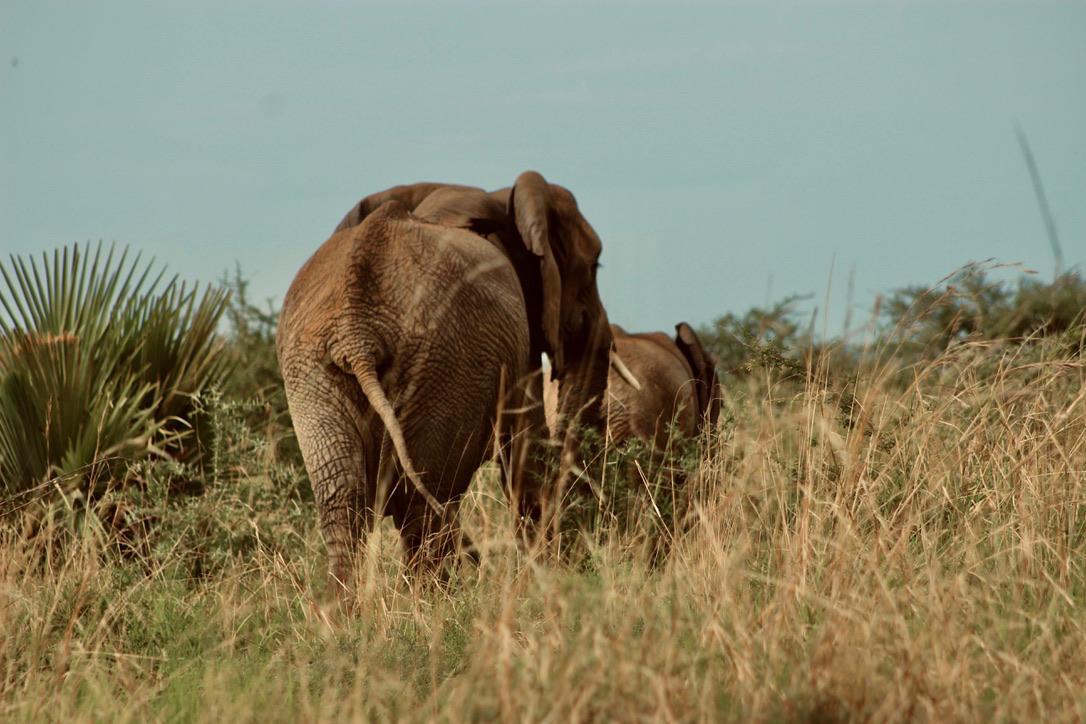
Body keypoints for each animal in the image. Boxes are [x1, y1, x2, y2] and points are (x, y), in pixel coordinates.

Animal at [278, 171, 621, 594]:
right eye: (593, 266)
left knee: (343, 497)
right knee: (420, 500)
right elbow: (527, 455)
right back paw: (431, 601)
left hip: (315, 372)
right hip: (441, 366)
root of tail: (357, 332)